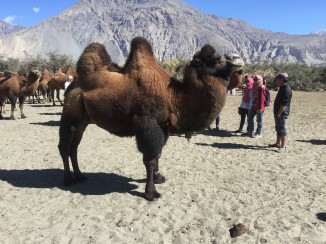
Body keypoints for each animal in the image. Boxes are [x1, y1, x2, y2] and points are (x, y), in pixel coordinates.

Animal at [57, 36, 243, 200]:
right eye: (212, 59)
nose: (237, 58)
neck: (173, 97)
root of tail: (72, 86)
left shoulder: (163, 127)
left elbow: (158, 154)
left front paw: (159, 178)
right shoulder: (148, 124)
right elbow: (150, 160)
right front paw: (151, 193)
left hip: (83, 122)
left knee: (74, 147)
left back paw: (80, 176)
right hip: (70, 116)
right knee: (64, 147)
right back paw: (68, 180)